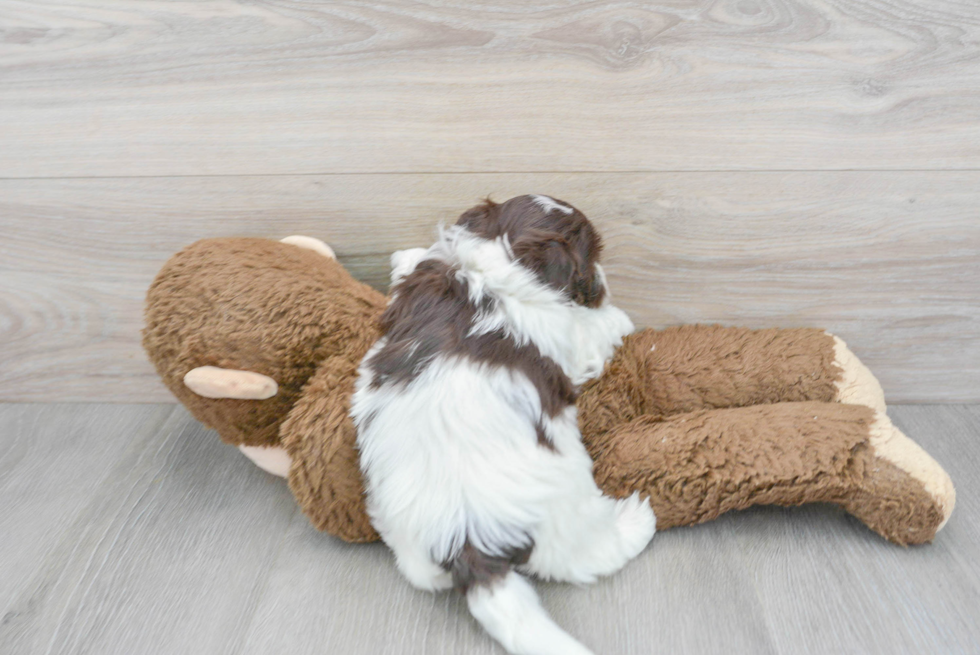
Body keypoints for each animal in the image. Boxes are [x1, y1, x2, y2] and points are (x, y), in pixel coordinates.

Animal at [348, 195, 656, 655]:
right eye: (591, 260)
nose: (602, 280)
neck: (493, 266)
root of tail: (468, 543)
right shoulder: (573, 337)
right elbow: (595, 330)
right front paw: (618, 317)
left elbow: (418, 260)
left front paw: (404, 256)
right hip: (565, 515)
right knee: (586, 554)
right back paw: (636, 522)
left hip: (404, 536)